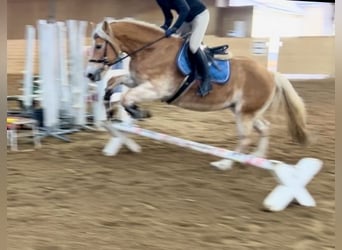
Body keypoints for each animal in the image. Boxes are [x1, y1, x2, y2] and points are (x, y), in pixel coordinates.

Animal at [85, 18, 310, 170]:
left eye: (98, 45)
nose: (90, 74)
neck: (152, 49)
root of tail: (271, 74)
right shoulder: (136, 81)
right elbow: (113, 84)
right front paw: (110, 111)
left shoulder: (157, 89)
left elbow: (126, 98)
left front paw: (139, 113)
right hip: (244, 111)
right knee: (264, 127)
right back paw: (256, 158)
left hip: (245, 113)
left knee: (245, 137)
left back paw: (225, 163)